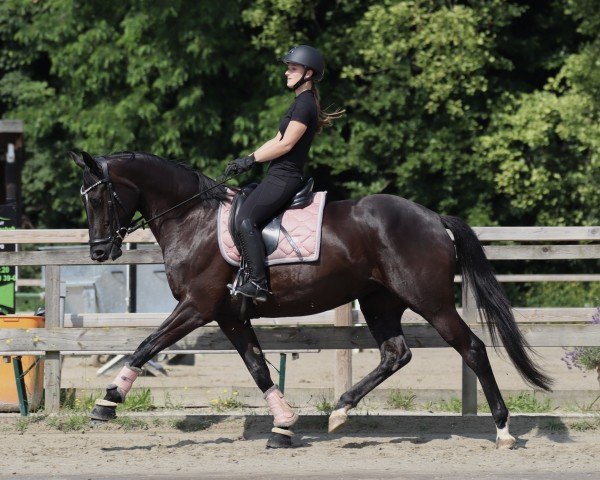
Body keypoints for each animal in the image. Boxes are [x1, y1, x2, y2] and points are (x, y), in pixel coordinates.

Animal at [71, 150, 552, 450]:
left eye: (100, 197)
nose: (99, 252)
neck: (193, 219)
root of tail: (433, 218)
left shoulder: (197, 306)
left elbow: (146, 345)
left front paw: (107, 402)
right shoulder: (229, 316)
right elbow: (259, 369)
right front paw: (283, 426)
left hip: (430, 301)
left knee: (472, 348)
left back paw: (503, 431)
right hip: (379, 302)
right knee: (395, 353)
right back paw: (340, 411)